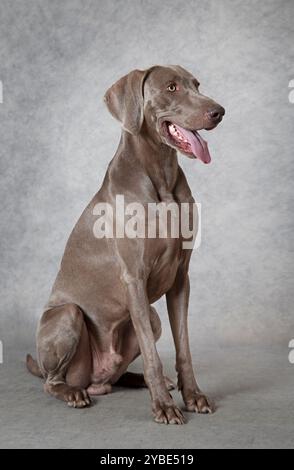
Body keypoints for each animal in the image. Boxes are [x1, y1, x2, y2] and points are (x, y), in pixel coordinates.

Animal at [28, 64, 225, 424]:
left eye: (196, 84)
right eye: (171, 87)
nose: (218, 111)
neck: (161, 176)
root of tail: (94, 381)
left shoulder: (181, 278)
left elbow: (184, 348)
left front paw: (192, 395)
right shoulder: (134, 277)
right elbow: (151, 354)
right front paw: (164, 406)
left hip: (150, 316)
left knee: (118, 373)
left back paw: (138, 381)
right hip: (67, 316)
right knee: (52, 381)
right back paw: (73, 393)